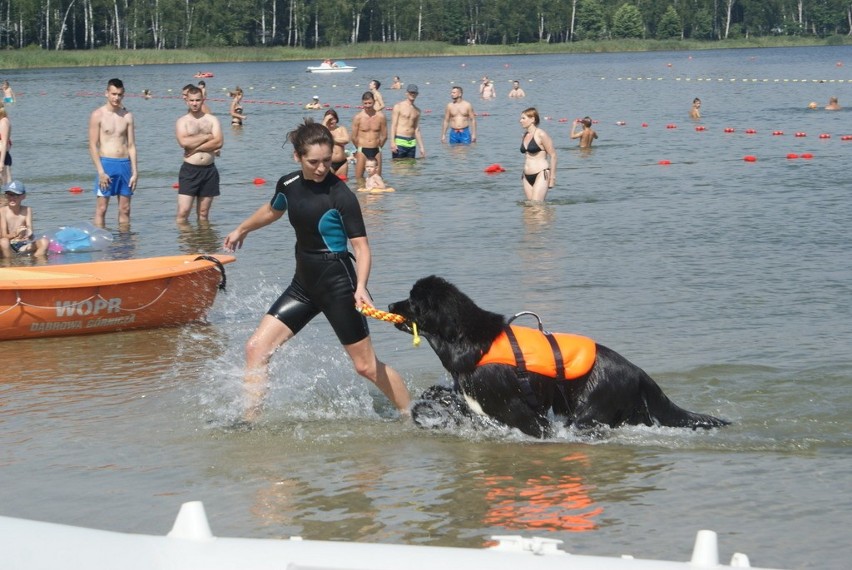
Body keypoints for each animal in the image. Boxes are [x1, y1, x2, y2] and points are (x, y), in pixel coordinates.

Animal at [390, 274, 728, 434]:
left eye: (412, 300)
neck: (466, 341)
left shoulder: (518, 410)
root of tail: (638, 372)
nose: (391, 305)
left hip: (590, 410)